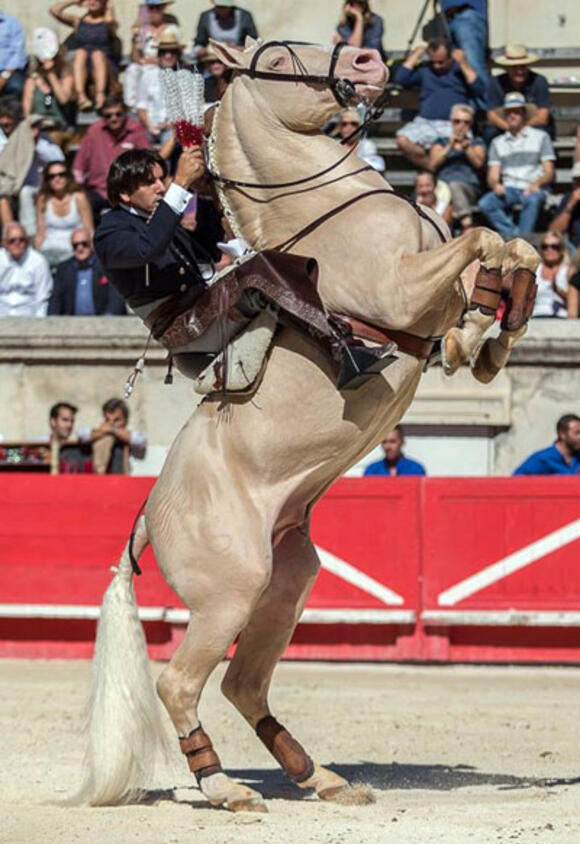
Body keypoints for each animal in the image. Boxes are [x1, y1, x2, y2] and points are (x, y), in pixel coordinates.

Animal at [77, 38, 540, 812]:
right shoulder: (402, 291)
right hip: (230, 590)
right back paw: (225, 787)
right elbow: (480, 237)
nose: (368, 62)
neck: (330, 207)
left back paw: (318, 776)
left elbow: (505, 252)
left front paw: (495, 331)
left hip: (285, 580)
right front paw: (488, 329)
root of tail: (147, 515)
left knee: (242, 683)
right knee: (181, 682)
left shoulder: (432, 293)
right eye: (280, 58)